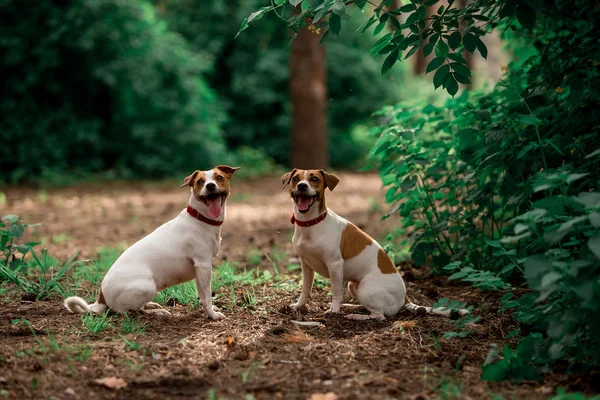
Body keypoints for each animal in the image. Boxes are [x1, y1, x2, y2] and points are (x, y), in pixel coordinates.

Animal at [62, 165, 238, 318]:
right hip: (148, 286)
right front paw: (212, 315)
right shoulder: (203, 265)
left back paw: (152, 305)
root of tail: (101, 298)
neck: (200, 219)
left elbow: (202, 293)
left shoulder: (200, 270)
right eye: (200, 181)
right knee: (128, 311)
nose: (210, 186)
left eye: (219, 177)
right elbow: (206, 296)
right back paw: (155, 312)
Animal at [282, 169, 468, 322]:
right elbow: (305, 289)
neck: (311, 224)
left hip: (366, 289)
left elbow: (336, 292)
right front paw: (298, 305)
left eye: (314, 178)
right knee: (370, 308)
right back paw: (352, 307)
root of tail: (405, 298)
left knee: (379, 315)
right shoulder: (306, 264)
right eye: (295, 179)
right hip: (353, 286)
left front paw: (334, 310)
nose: (302, 186)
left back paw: (356, 315)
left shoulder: (335, 265)